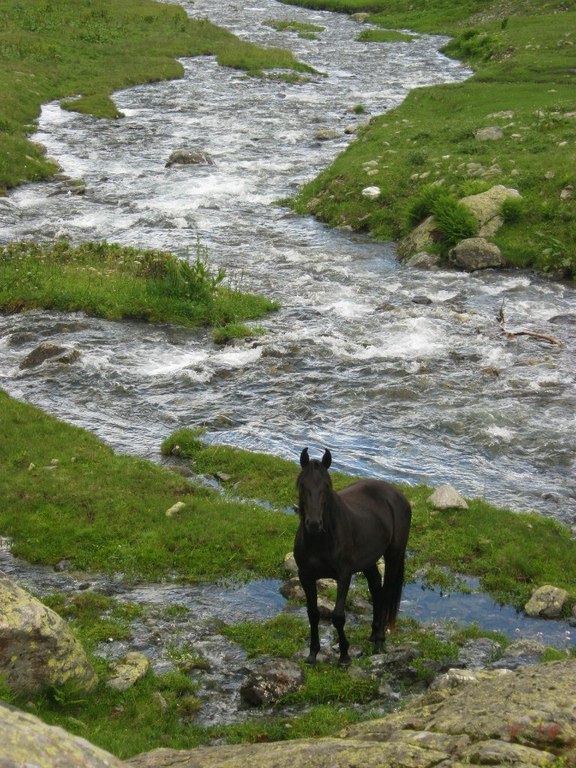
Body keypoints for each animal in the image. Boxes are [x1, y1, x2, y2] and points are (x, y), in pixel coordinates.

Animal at [294, 450, 412, 664]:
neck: (320, 540)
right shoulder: (305, 576)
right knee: (376, 588)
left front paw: (344, 656)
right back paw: (373, 634)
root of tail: (397, 495)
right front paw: (313, 653)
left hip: (393, 555)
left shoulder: (344, 575)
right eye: (302, 485)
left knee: (387, 591)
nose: (314, 524)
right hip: (368, 562)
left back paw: (379, 640)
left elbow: (338, 616)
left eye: (326, 487)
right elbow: (312, 613)